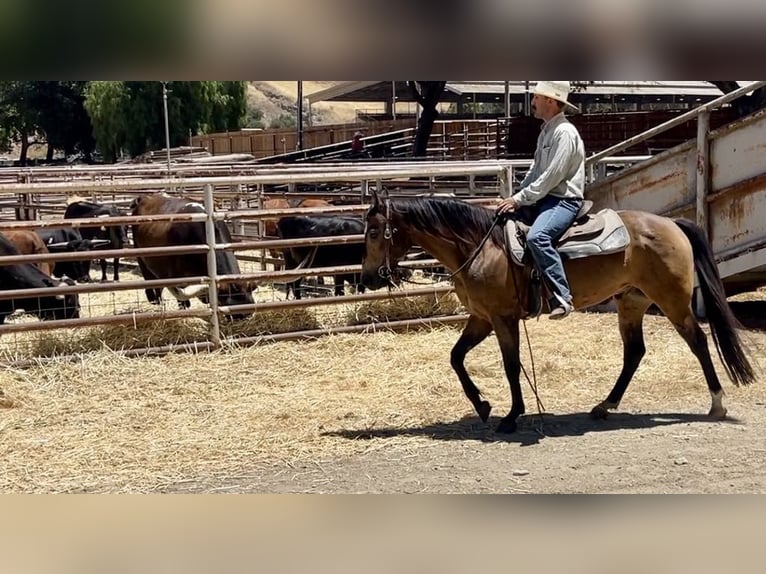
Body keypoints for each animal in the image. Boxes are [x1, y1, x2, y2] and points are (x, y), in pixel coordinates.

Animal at [360, 191, 756, 434]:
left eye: (376, 230)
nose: (367, 278)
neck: (480, 246)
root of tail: (673, 224)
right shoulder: (482, 318)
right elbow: (456, 357)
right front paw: (483, 405)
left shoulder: (502, 318)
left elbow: (511, 365)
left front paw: (511, 416)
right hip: (632, 302)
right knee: (634, 352)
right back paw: (604, 406)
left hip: (672, 301)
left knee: (698, 341)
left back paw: (717, 405)